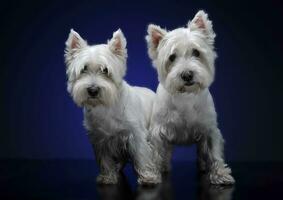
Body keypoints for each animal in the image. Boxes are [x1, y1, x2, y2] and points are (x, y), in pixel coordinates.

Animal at [65, 28, 161, 185]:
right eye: (83, 69)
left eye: (105, 70)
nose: (92, 90)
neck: (106, 106)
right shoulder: (100, 138)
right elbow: (105, 159)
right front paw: (107, 176)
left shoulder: (136, 135)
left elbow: (142, 155)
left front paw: (148, 177)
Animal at [146, 9, 235, 184]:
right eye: (172, 57)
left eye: (196, 52)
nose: (187, 75)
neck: (185, 96)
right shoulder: (158, 131)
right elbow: (155, 152)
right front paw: (152, 174)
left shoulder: (209, 129)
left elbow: (214, 153)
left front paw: (221, 174)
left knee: (202, 153)